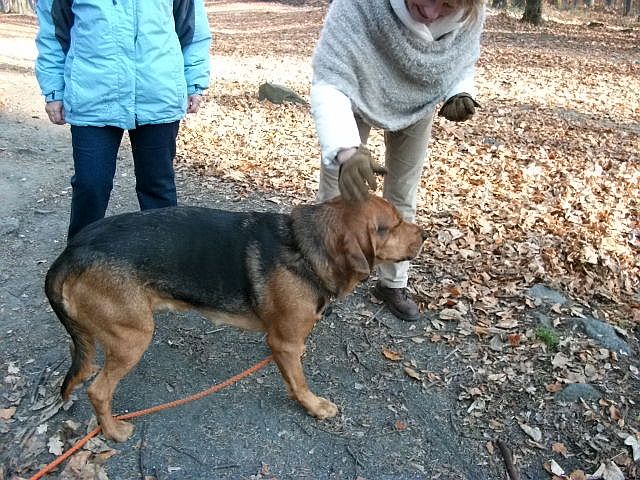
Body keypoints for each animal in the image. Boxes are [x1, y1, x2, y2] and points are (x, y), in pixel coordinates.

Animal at [45, 193, 424, 440]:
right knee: (99, 391)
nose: (425, 234)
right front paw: (314, 407)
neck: (305, 250)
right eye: (392, 225)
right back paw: (112, 431)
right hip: (133, 339)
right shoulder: (282, 343)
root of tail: (72, 251)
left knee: (80, 355)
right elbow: (299, 383)